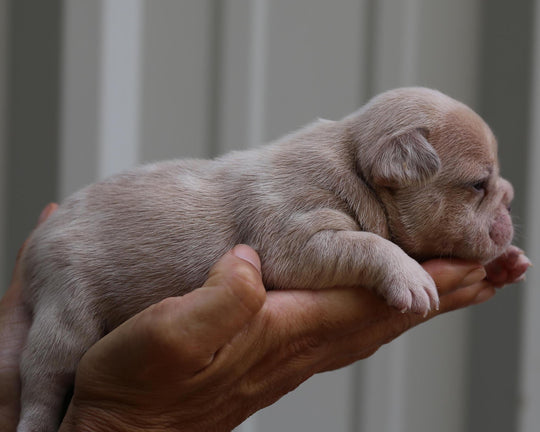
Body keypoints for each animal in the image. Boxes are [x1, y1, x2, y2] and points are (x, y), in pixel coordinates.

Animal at [15, 86, 528, 430]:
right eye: (478, 184)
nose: (510, 197)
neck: (355, 163)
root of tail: (39, 238)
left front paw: (508, 261)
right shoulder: (296, 236)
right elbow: (369, 244)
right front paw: (411, 275)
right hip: (66, 308)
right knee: (42, 381)